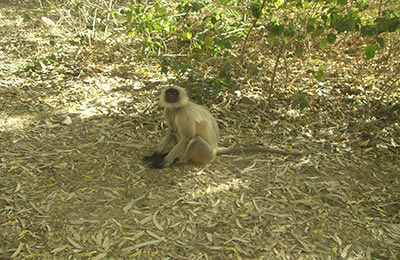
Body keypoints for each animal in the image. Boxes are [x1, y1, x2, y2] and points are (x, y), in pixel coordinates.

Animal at [144, 84, 304, 168]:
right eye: (169, 92)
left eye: (175, 93)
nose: (171, 95)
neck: (177, 108)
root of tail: (215, 150)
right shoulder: (169, 111)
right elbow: (171, 130)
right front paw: (156, 155)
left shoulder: (184, 114)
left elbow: (187, 138)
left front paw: (163, 162)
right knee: (176, 132)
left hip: (207, 153)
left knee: (194, 140)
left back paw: (180, 160)